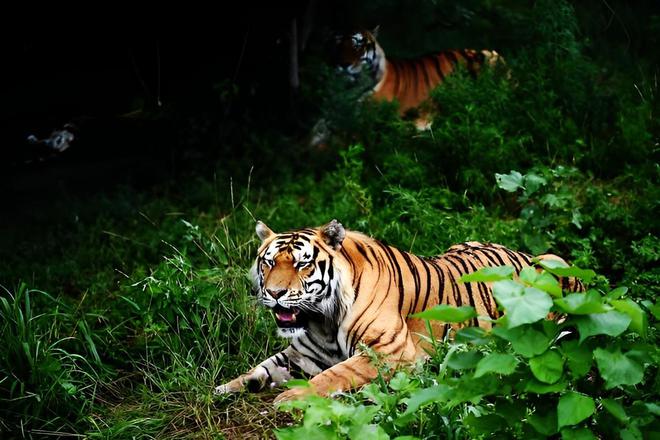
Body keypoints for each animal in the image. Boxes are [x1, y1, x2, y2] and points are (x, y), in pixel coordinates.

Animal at [214, 220, 580, 402]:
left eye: (302, 264)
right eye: (268, 262)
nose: (274, 294)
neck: (322, 319)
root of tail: (519, 250)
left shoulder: (390, 352)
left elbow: (334, 375)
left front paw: (291, 398)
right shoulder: (303, 354)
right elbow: (262, 367)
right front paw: (225, 389)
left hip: (554, 264)